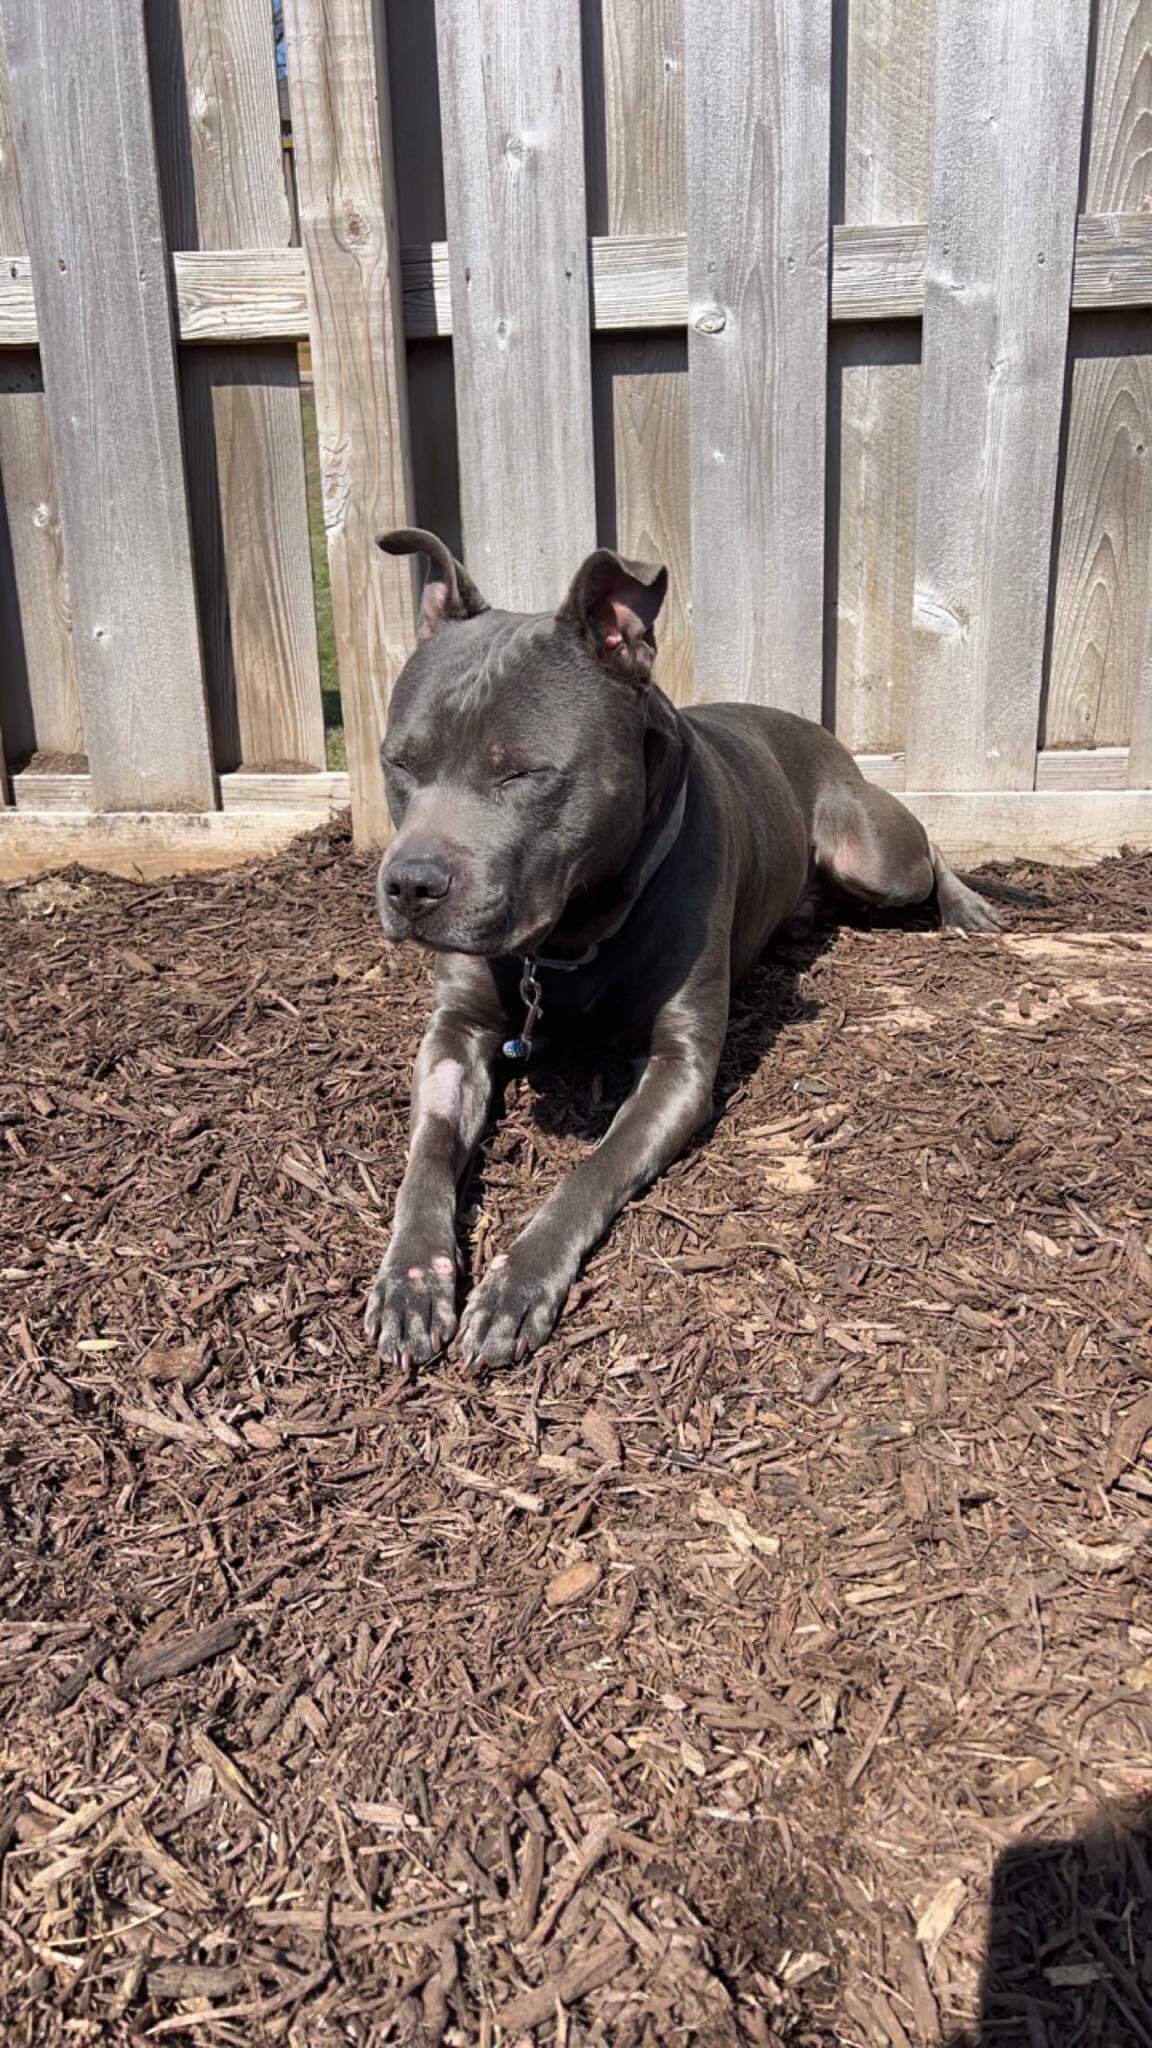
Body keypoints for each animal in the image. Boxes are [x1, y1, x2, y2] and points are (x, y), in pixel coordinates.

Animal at [362, 528, 1000, 1368]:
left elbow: (592, 1169)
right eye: (399, 762)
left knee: (929, 850)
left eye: (523, 772)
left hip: (872, 852)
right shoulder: (454, 1036)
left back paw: (969, 908)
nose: (410, 884)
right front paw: (411, 1278)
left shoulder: (681, 1067)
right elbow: (428, 1156)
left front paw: (516, 1283)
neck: (571, 936)